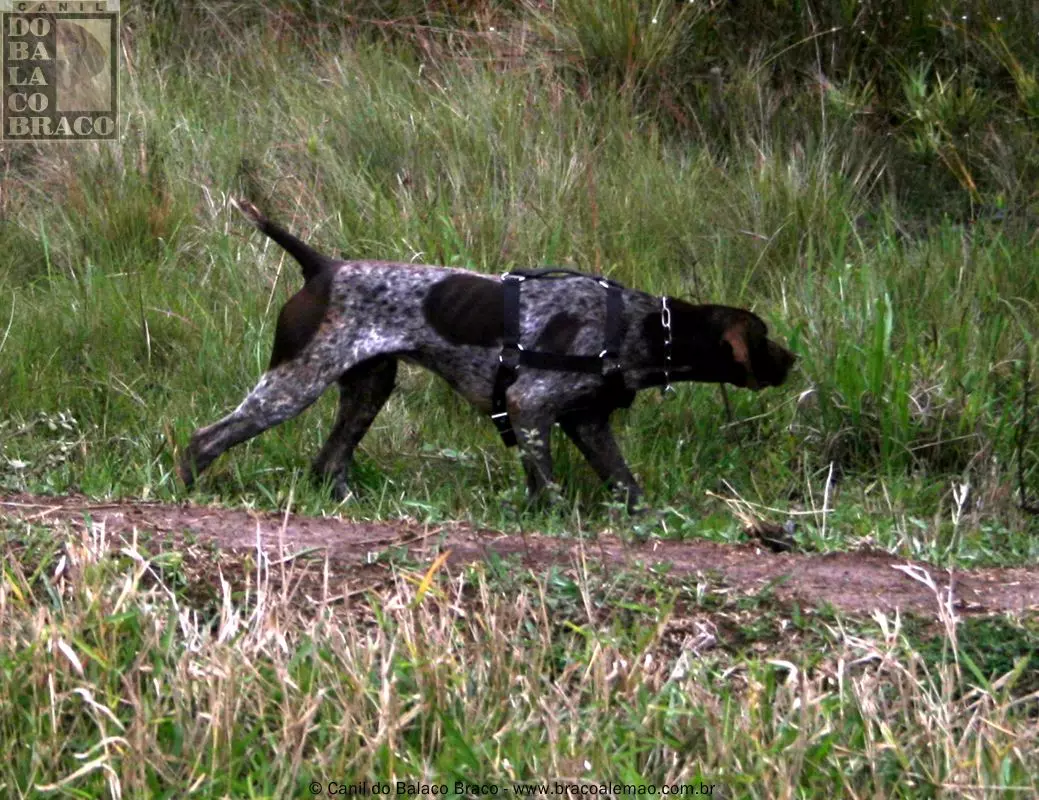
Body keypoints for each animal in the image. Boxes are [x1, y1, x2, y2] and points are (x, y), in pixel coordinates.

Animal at [178, 201, 795, 510]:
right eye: (764, 337)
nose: (792, 361)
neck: (641, 325)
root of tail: (321, 266)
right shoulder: (530, 406)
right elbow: (548, 487)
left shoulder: (587, 421)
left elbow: (625, 484)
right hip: (292, 385)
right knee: (204, 440)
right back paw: (188, 489)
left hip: (369, 387)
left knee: (328, 463)